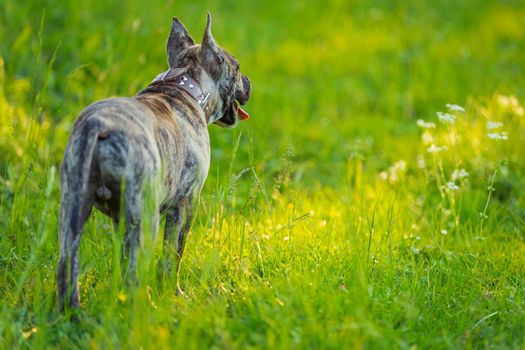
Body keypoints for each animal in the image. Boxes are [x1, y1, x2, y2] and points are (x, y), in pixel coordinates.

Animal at [58, 13, 251, 308]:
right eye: (237, 67)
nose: (249, 81)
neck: (184, 86)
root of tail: (98, 126)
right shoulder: (185, 205)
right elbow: (174, 253)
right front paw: (174, 293)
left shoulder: (121, 220)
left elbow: (125, 256)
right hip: (145, 217)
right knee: (138, 270)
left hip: (73, 209)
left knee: (67, 265)